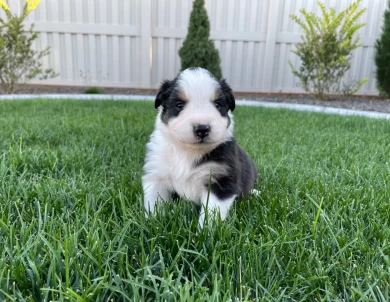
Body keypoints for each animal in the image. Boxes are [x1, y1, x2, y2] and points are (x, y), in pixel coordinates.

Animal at [142, 66, 258, 226]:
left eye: (217, 104)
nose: (202, 129)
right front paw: (153, 224)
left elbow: (212, 214)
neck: (187, 151)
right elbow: (154, 205)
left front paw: (206, 231)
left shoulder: (220, 181)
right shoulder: (156, 175)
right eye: (179, 105)